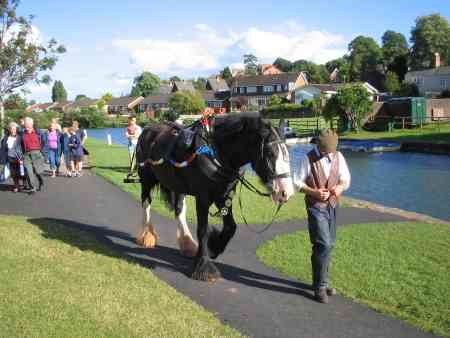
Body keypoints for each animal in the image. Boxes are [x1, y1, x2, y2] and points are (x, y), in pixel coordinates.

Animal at [135, 112, 294, 282]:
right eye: (271, 153)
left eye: (287, 153)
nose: (285, 192)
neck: (217, 153)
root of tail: (148, 129)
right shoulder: (202, 198)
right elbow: (203, 230)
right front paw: (204, 266)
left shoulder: (223, 196)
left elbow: (231, 227)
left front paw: (214, 247)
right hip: (146, 179)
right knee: (146, 203)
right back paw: (146, 236)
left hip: (177, 186)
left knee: (179, 209)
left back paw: (187, 244)